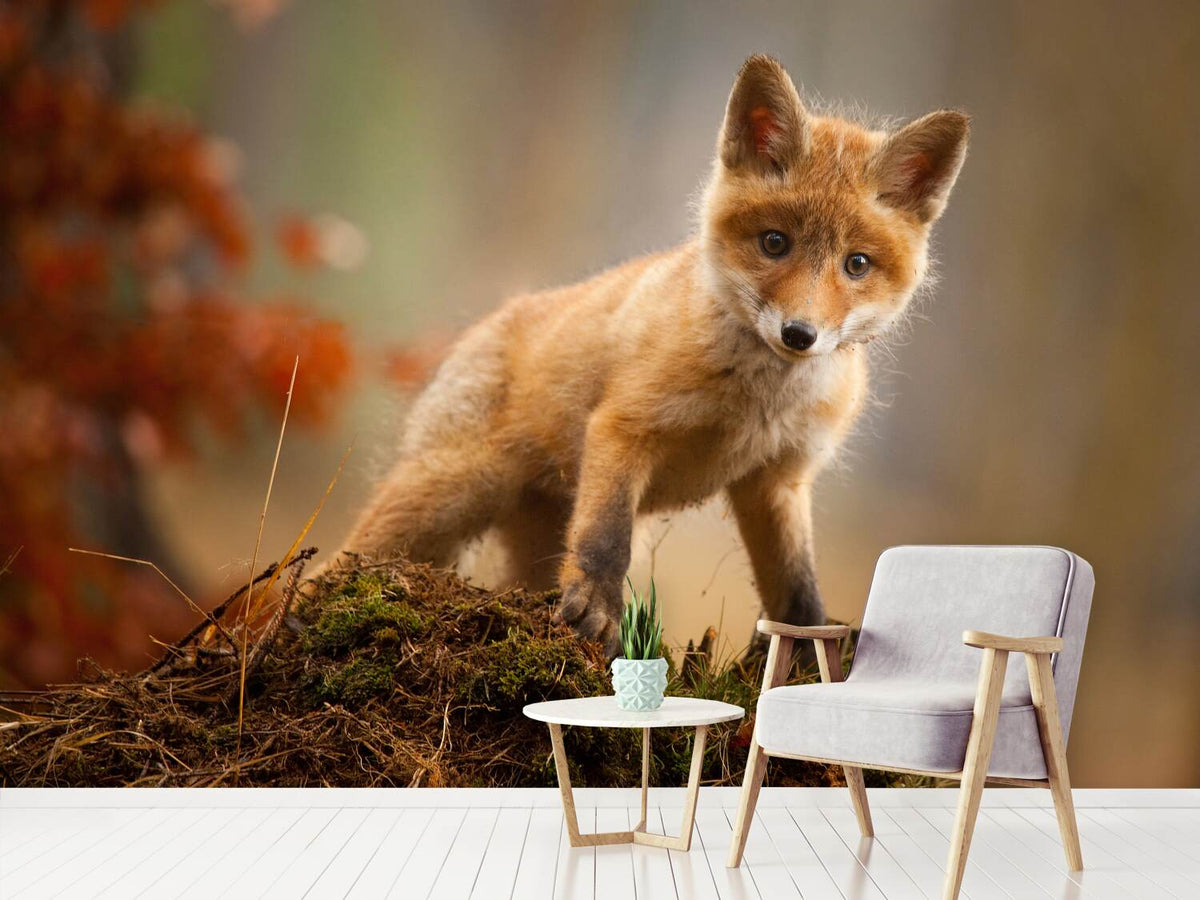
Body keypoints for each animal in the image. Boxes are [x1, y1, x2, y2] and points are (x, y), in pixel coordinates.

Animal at [321, 55, 969, 654]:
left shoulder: (777, 480)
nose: (799, 334)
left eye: (856, 264)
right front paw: (597, 612)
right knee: (338, 560)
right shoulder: (624, 427)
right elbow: (607, 539)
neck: (757, 402)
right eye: (774, 243)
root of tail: (486, 324)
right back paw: (309, 616)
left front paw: (811, 656)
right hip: (449, 494)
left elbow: (796, 590)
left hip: (529, 535)